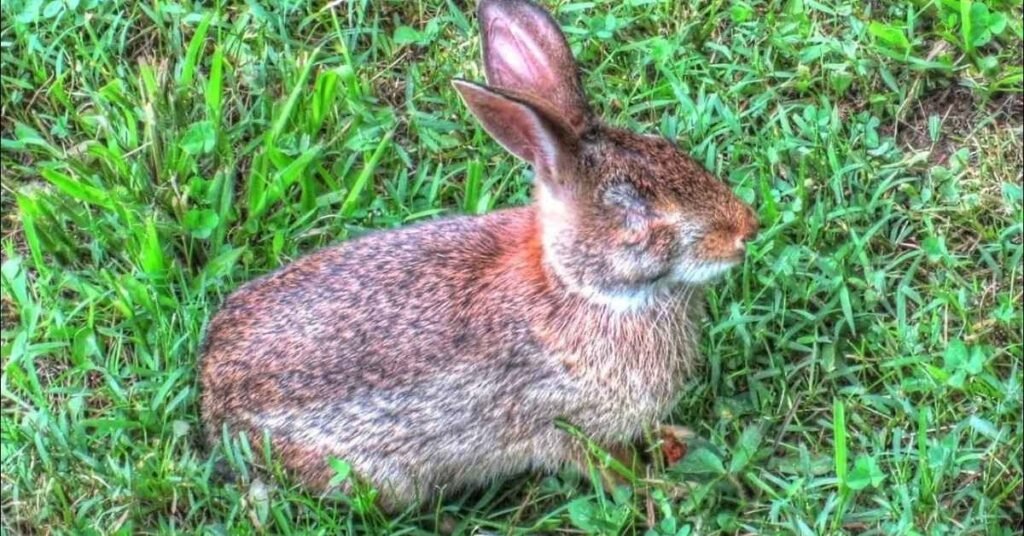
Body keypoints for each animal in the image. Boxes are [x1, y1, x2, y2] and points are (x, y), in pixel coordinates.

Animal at [199, 0, 758, 511]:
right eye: (636, 212)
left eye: (669, 147)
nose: (745, 230)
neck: (582, 289)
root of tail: (211, 393)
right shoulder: (568, 424)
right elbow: (612, 470)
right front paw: (664, 488)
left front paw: (677, 443)